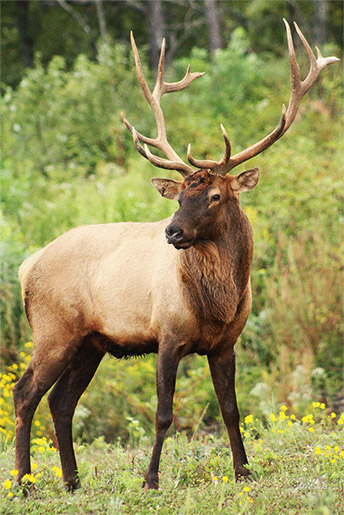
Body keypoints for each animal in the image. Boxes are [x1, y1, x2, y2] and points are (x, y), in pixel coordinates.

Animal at [13, 21, 338, 492]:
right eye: (180, 195)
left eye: (215, 195)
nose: (172, 231)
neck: (217, 304)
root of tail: (27, 265)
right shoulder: (166, 334)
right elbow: (164, 414)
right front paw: (150, 480)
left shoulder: (225, 344)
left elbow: (231, 410)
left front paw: (244, 472)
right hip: (52, 329)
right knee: (25, 394)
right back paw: (25, 483)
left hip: (91, 342)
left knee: (60, 401)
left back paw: (72, 481)